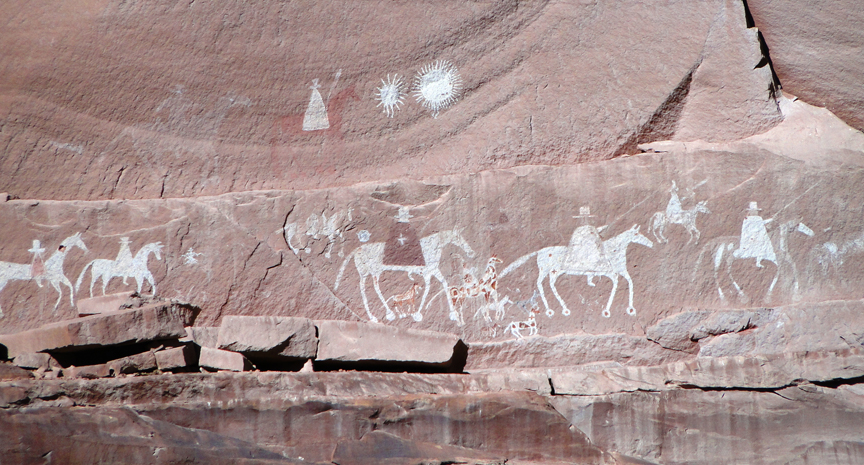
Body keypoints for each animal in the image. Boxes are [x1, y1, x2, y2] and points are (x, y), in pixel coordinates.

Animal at [336, 228, 472, 322]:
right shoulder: (427, 273)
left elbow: (444, 283)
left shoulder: (433, 271)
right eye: (459, 238)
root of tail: (358, 249)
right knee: (369, 288)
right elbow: (428, 289)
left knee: (368, 287)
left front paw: (453, 313)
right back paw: (384, 314)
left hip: (369, 272)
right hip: (371, 271)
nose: (470, 252)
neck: (431, 247)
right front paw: (417, 314)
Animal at [500, 225, 656, 320]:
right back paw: (552, 310)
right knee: (540, 283)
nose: (651, 243)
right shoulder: (611, 273)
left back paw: (563, 309)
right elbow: (617, 285)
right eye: (636, 233)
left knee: (550, 284)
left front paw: (630, 308)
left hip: (555, 272)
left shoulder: (619, 271)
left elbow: (629, 281)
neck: (613, 250)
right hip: (546, 270)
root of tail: (540, 251)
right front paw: (607, 311)